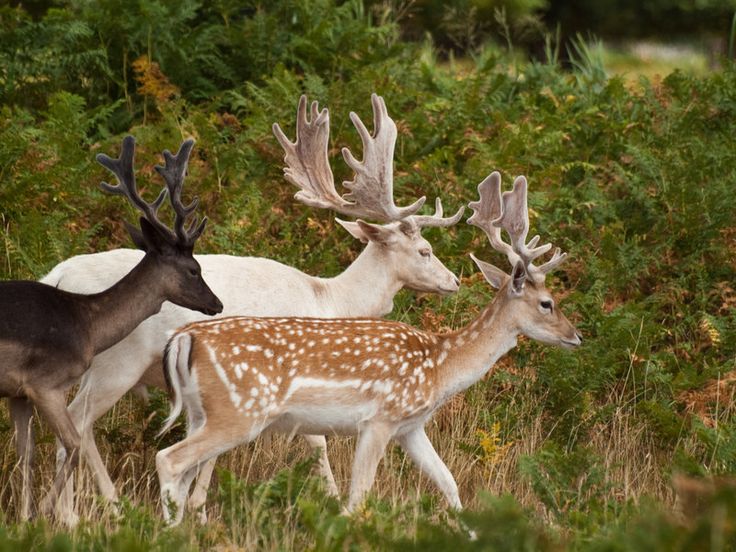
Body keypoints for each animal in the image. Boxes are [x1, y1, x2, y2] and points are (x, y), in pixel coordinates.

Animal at [0, 136, 221, 524]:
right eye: (194, 269)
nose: (217, 304)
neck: (88, 325)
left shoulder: (18, 394)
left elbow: (26, 455)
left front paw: (26, 519)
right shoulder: (44, 384)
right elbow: (72, 444)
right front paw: (49, 513)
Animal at [43, 94, 462, 520]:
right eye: (425, 250)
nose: (454, 281)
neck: (330, 299)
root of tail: (57, 275)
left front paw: (197, 504)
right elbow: (317, 440)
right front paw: (330, 499)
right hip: (116, 363)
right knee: (75, 424)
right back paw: (79, 512)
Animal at [154, 170, 580, 524]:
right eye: (547, 303)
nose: (577, 336)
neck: (440, 366)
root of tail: (185, 339)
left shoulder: (412, 427)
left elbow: (449, 482)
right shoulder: (380, 418)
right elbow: (358, 496)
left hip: (200, 412)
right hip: (239, 411)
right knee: (169, 459)